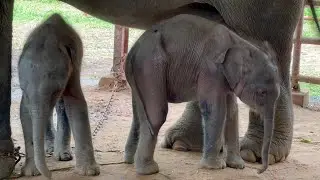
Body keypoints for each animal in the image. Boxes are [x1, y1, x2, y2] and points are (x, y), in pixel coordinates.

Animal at [18, 13, 99, 178]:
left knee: (61, 106)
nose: (50, 176)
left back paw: (63, 156)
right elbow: (24, 111)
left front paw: (89, 172)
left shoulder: (75, 63)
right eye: (22, 89)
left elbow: (76, 103)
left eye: (56, 90)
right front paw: (30, 173)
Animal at [125, 14, 280, 176]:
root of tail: (133, 50)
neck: (242, 44)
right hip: (150, 67)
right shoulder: (211, 69)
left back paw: (130, 161)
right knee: (156, 115)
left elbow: (232, 112)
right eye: (261, 92)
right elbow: (217, 110)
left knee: (139, 115)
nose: (259, 171)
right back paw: (149, 170)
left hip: (138, 71)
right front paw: (215, 167)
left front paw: (237, 166)